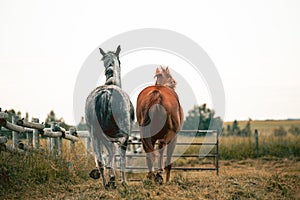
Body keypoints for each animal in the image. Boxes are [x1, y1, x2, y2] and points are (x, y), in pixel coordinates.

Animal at [85, 45, 135, 189]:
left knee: (101, 157)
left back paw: (103, 179)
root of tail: (105, 93)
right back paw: (113, 179)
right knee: (116, 148)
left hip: (94, 134)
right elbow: (121, 156)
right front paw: (122, 181)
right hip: (120, 132)